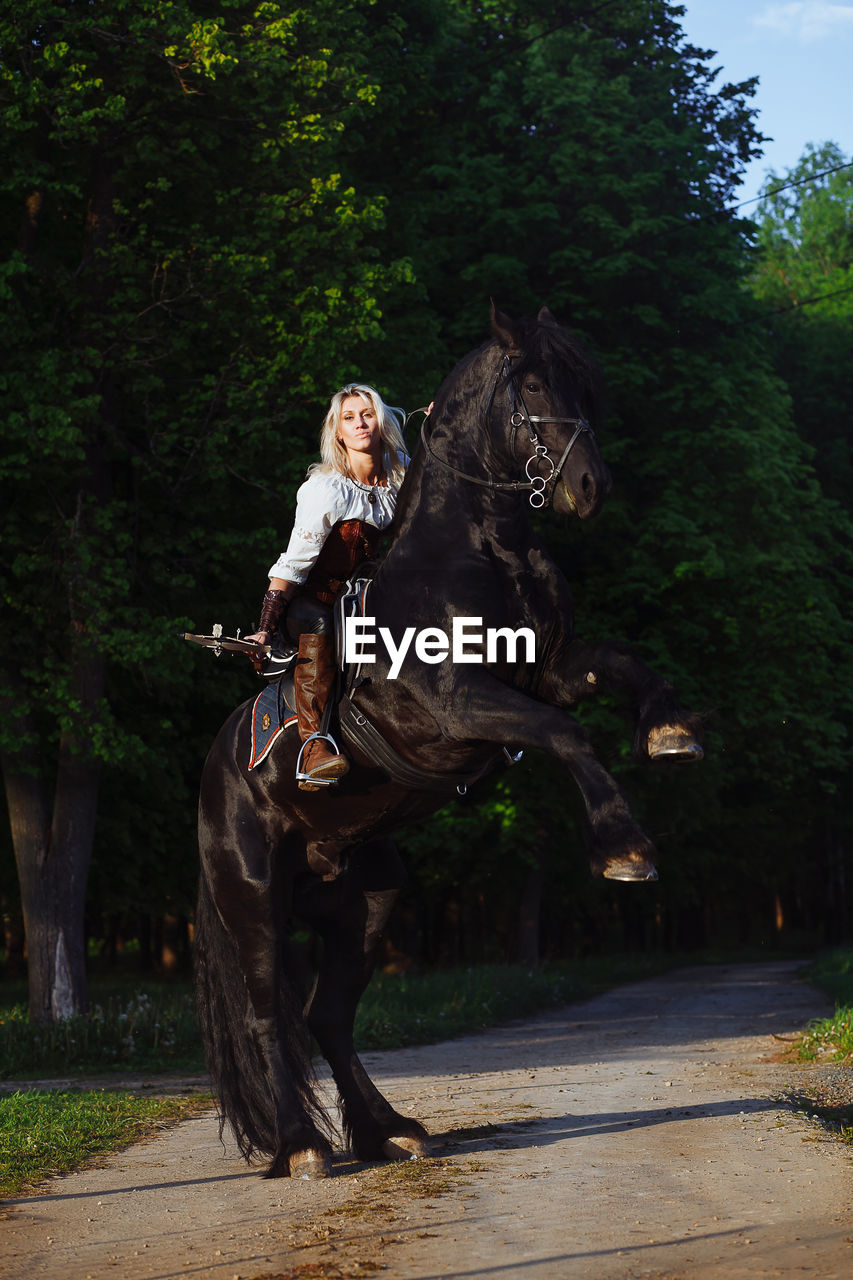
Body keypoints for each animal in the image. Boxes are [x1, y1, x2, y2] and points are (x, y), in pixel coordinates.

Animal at [195, 307, 701, 1177]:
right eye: (530, 385)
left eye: (579, 381)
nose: (589, 486)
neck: (477, 549)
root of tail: (211, 777)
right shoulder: (460, 706)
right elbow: (567, 734)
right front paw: (624, 848)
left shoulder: (548, 670)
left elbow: (625, 665)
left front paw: (670, 731)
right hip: (254, 900)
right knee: (269, 1017)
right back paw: (303, 1148)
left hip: (365, 898)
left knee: (327, 1016)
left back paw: (390, 1130)